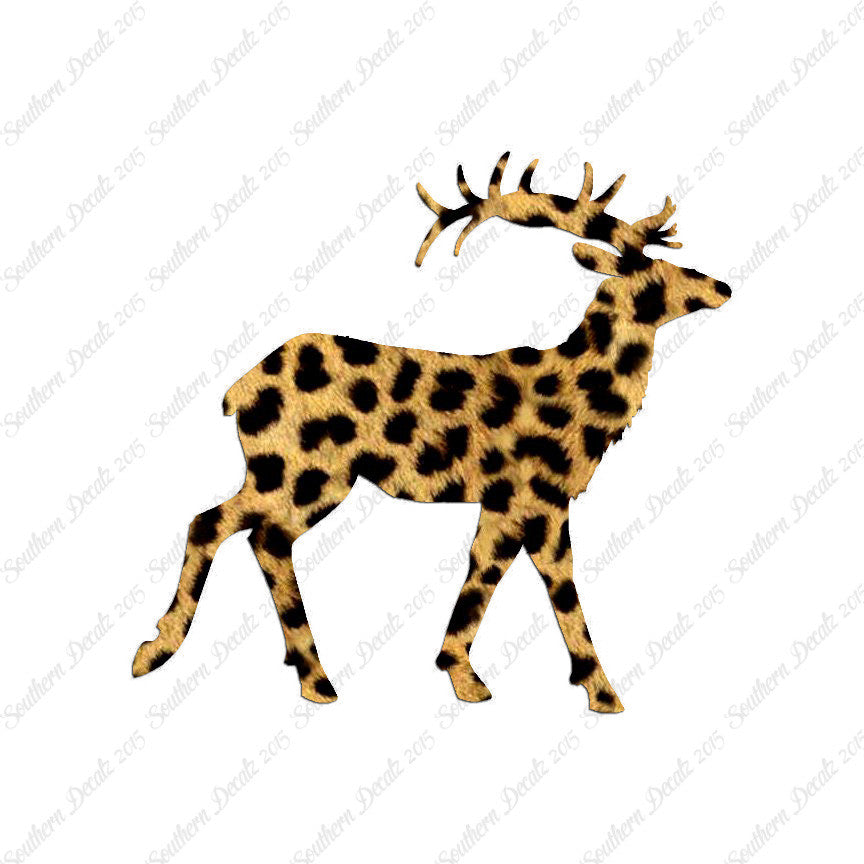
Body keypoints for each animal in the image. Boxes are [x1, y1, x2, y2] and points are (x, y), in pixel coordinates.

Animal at [133, 153, 731, 713]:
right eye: (655, 277)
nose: (722, 285)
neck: (582, 389)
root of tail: (237, 392)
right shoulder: (543, 500)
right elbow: (562, 591)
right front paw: (604, 693)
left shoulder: (501, 504)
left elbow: (483, 573)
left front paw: (460, 673)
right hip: (304, 473)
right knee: (231, 528)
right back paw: (212, 662)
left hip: (295, 478)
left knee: (242, 532)